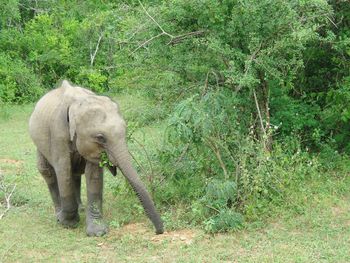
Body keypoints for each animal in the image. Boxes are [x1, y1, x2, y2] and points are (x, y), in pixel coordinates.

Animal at [28, 80, 163, 237]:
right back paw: (59, 213)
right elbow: (63, 171)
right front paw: (66, 223)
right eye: (100, 137)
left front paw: (97, 232)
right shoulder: (58, 134)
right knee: (47, 171)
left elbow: (93, 175)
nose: (159, 231)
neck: (79, 102)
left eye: (125, 130)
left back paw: (80, 209)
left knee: (75, 173)